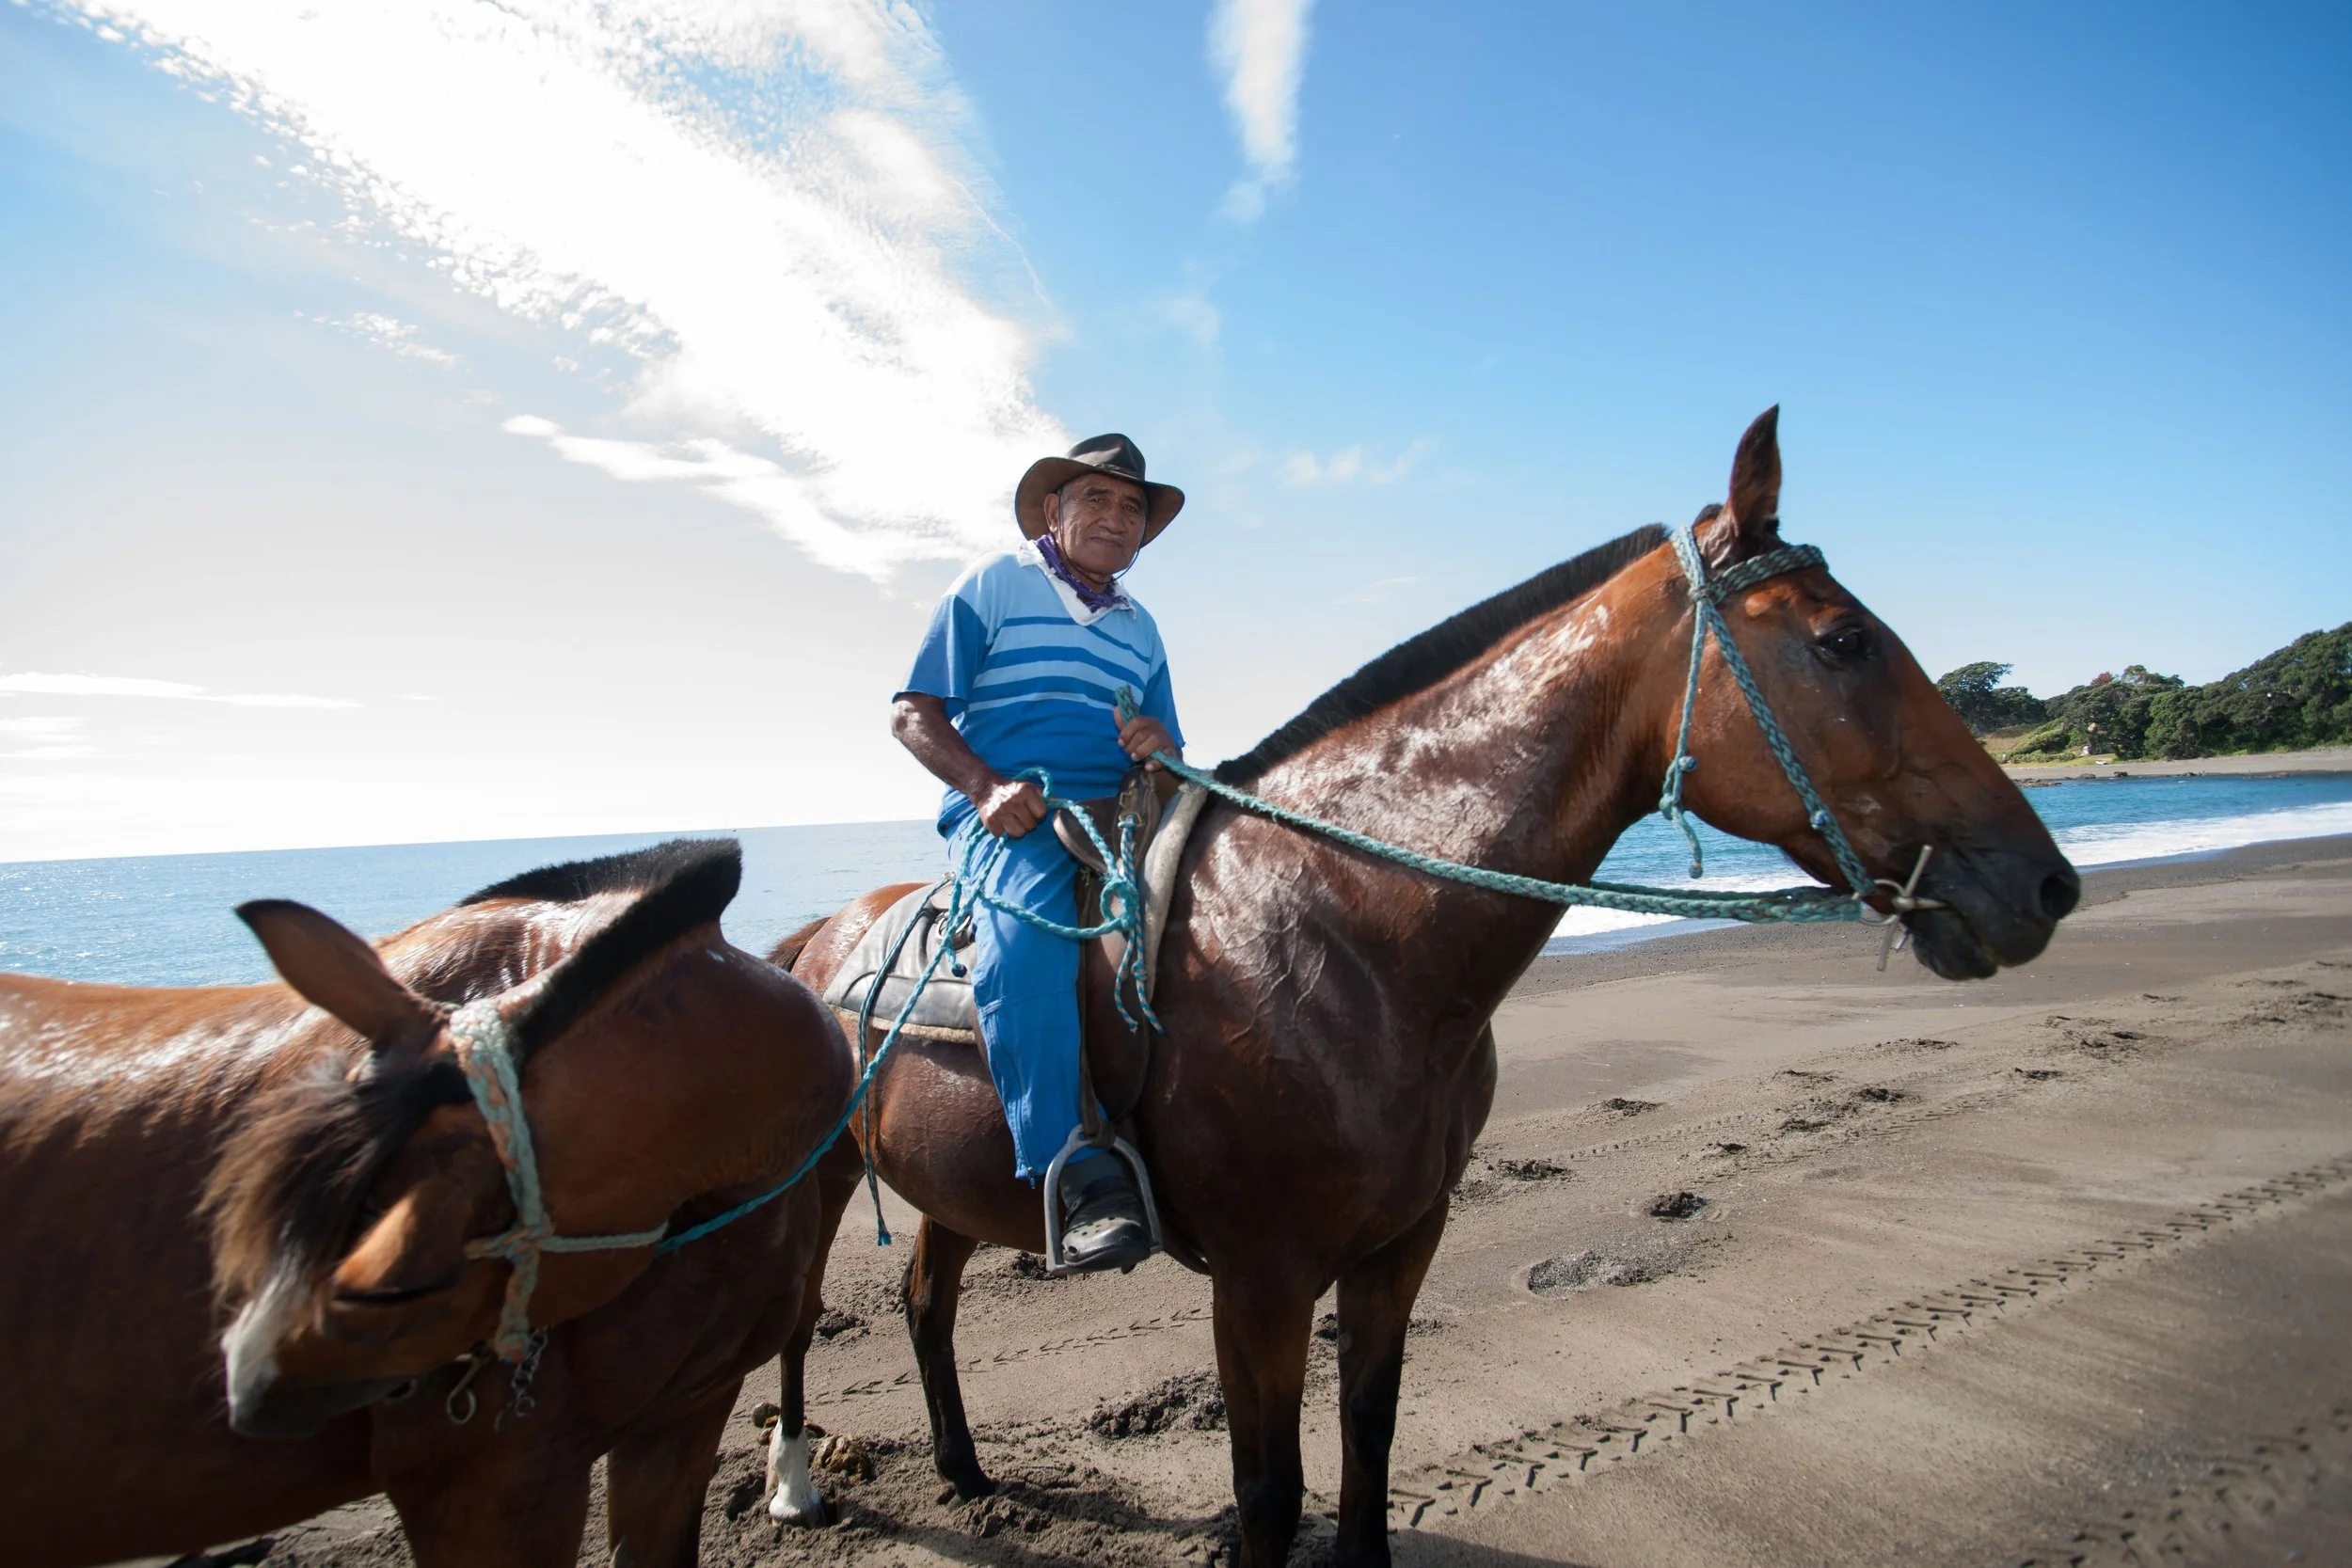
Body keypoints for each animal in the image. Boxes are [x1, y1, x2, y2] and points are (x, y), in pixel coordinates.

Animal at [770, 410, 2081, 1567]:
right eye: (1843, 639)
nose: (2046, 883)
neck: (1341, 932)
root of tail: (813, 939)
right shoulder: (1260, 1276)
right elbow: (1266, 1490)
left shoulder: (1402, 1241)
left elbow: (1369, 1434)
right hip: (818, 1184)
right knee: (794, 1319)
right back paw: (793, 1483)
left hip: (948, 1188)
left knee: (923, 1301)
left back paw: (962, 1467)